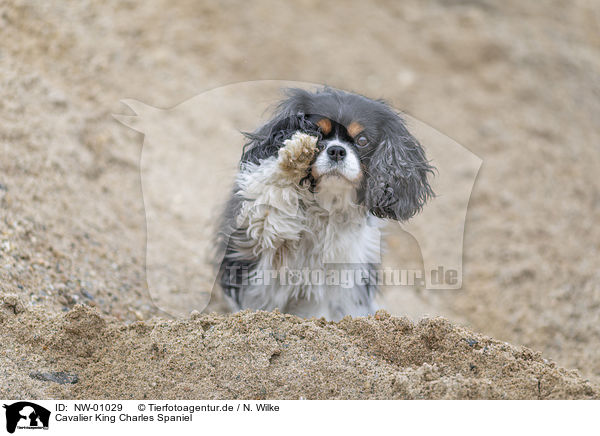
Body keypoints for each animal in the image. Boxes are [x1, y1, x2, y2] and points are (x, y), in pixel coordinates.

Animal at [218, 87, 434, 320]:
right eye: (316, 132)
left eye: (362, 140)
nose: (337, 150)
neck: (328, 202)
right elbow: (271, 199)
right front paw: (295, 156)